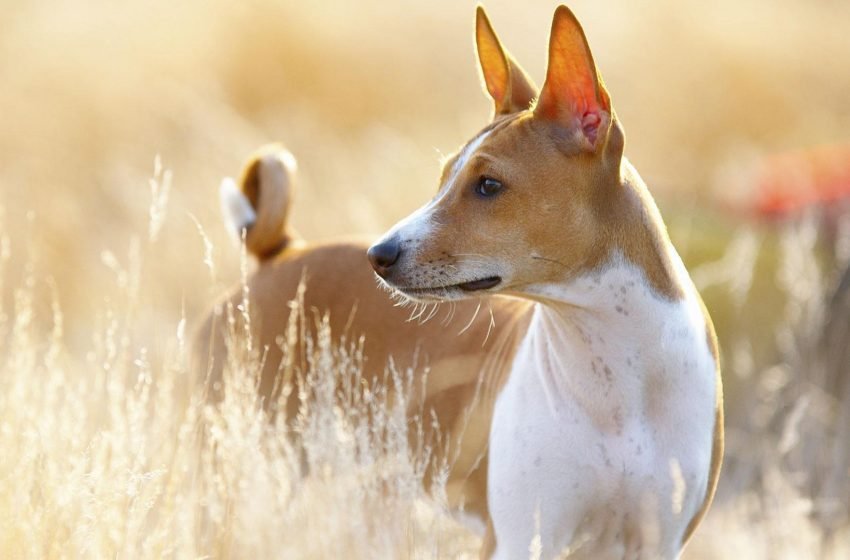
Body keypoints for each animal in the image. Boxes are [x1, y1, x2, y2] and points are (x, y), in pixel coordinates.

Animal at [194, 5, 724, 560]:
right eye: (445, 176)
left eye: (488, 185)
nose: (378, 255)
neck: (616, 379)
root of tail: (281, 253)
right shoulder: (520, 538)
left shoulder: (655, 540)